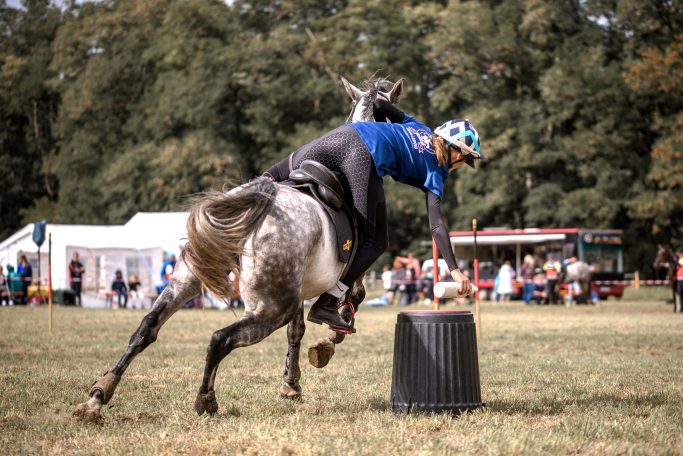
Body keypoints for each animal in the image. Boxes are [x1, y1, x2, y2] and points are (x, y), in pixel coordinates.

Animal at [73, 76, 404, 423]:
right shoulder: (352, 269)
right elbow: (350, 301)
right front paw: (328, 343)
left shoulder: (300, 289)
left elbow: (297, 331)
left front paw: (291, 384)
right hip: (271, 308)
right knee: (219, 339)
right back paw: (205, 399)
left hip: (187, 280)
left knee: (146, 328)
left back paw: (98, 396)